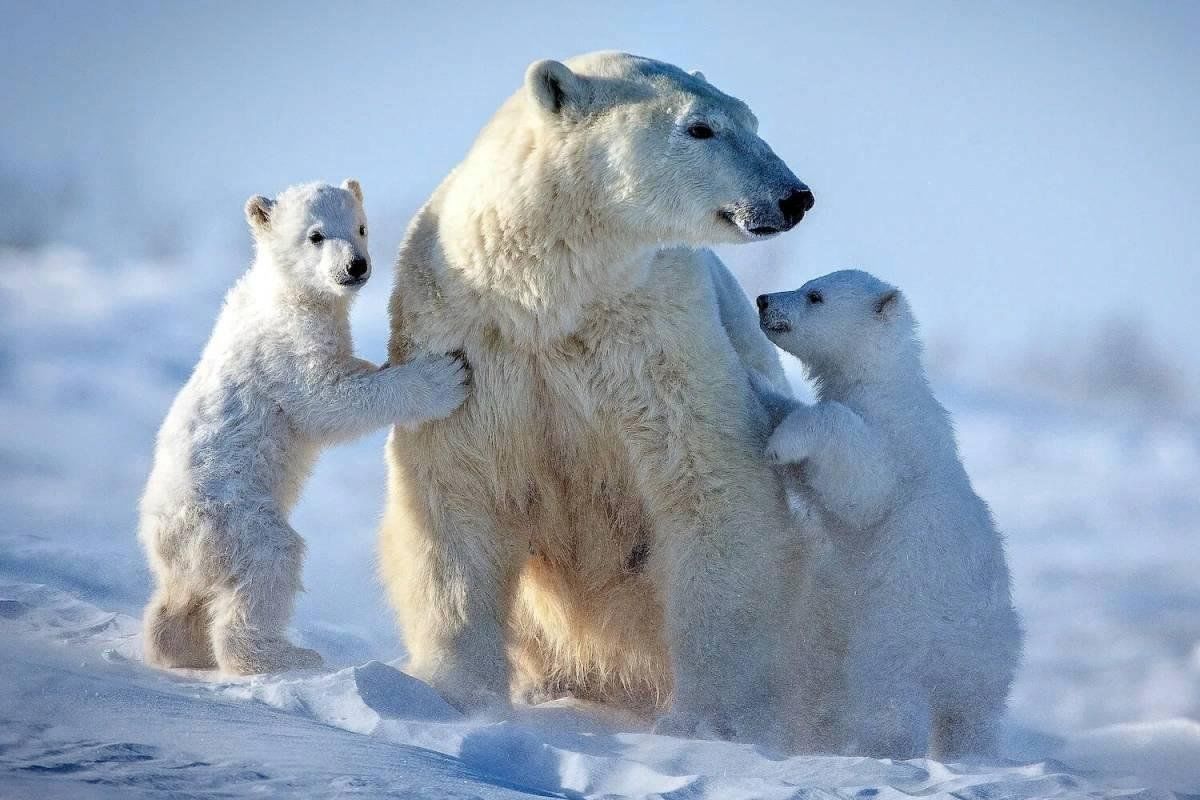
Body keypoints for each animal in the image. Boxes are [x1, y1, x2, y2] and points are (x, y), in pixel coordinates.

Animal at [141, 179, 472, 676]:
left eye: (360, 227)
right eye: (316, 235)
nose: (356, 266)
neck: (284, 290)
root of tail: (160, 541)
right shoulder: (287, 345)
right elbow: (326, 399)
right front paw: (443, 376)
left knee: (182, 599)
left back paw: (175, 645)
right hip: (231, 517)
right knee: (269, 562)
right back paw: (284, 655)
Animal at [379, 51, 820, 753]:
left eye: (750, 118)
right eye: (700, 128)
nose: (793, 196)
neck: (549, 295)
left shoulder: (655, 337)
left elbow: (708, 486)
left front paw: (710, 721)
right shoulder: (468, 339)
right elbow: (455, 494)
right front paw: (457, 699)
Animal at [758, 271, 1022, 762]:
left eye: (814, 295)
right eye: (806, 283)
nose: (764, 300)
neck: (884, 382)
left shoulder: (896, 442)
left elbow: (863, 487)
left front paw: (781, 442)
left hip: (898, 633)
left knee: (889, 699)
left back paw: (881, 751)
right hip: (991, 664)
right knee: (972, 718)